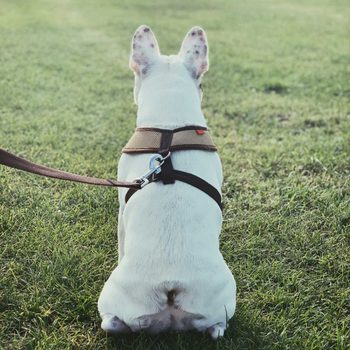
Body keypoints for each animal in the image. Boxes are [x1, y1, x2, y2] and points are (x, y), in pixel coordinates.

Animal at [97, 24, 237, 340]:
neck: (169, 126)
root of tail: (171, 286)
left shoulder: (121, 212)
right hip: (224, 296)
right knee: (217, 327)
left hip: (111, 294)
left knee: (110, 322)